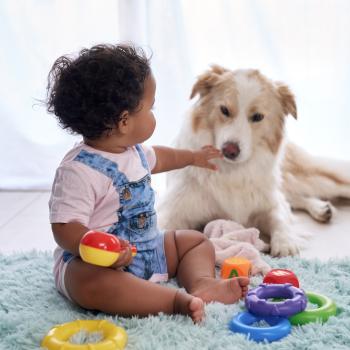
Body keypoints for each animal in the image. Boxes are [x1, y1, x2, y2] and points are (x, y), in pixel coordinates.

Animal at [158, 65, 350, 258]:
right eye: (224, 110)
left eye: (257, 117)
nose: (230, 150)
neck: (232, 172)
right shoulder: (173, 210)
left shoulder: (268, 203)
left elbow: (279, 217)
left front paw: (285, 242)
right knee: (293, 198)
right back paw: (322, 209)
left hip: (306, 180)